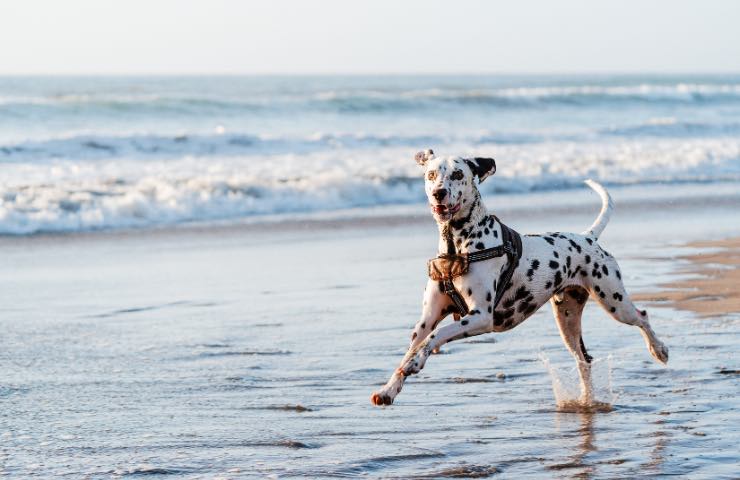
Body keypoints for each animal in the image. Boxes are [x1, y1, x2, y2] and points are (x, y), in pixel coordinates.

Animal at [370, 149, 672, 404]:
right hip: (568, 320)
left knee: (642, 317)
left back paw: (659, 350)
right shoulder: (426, 319)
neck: (458, 246)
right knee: (583, 359)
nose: (439, 193)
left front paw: (416, 362)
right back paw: (587, 400)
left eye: (457, 174)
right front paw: (389, 388)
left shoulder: (481, 317)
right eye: (431, 174)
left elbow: (437, 335)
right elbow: (414, 346)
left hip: (614, 301)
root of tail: (587, 237)